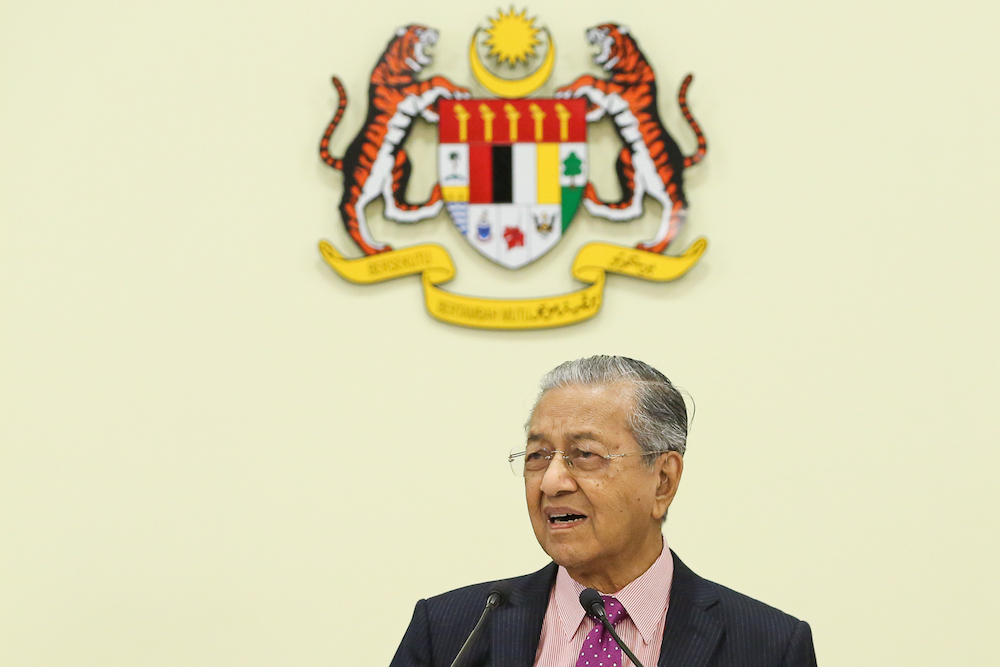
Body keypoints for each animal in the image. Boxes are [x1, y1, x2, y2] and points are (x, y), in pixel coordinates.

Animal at [320, 25, 468, 256]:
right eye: (419, 30)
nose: (435, 30)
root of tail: (344, 160)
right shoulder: (409, 92)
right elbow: (436, 79)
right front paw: (460, 91)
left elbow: (430, 105)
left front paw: (439, 112)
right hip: (364, 179)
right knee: (348, 209)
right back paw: (373, 250)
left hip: (398, 162)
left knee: (393, 209)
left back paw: (433, 200)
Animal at [552, 24, 708, 254]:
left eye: (603, 28)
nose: (588, 29)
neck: (624, 63)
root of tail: (681, 158)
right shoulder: (607, 102)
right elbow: (594, 108)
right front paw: (579, 108)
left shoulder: (615, 92)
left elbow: (588, 77)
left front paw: (564, 91)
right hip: (628, 161)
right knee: (633, 207)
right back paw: (592, 198)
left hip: (662, 176)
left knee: (679, 208)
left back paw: (654, 247)